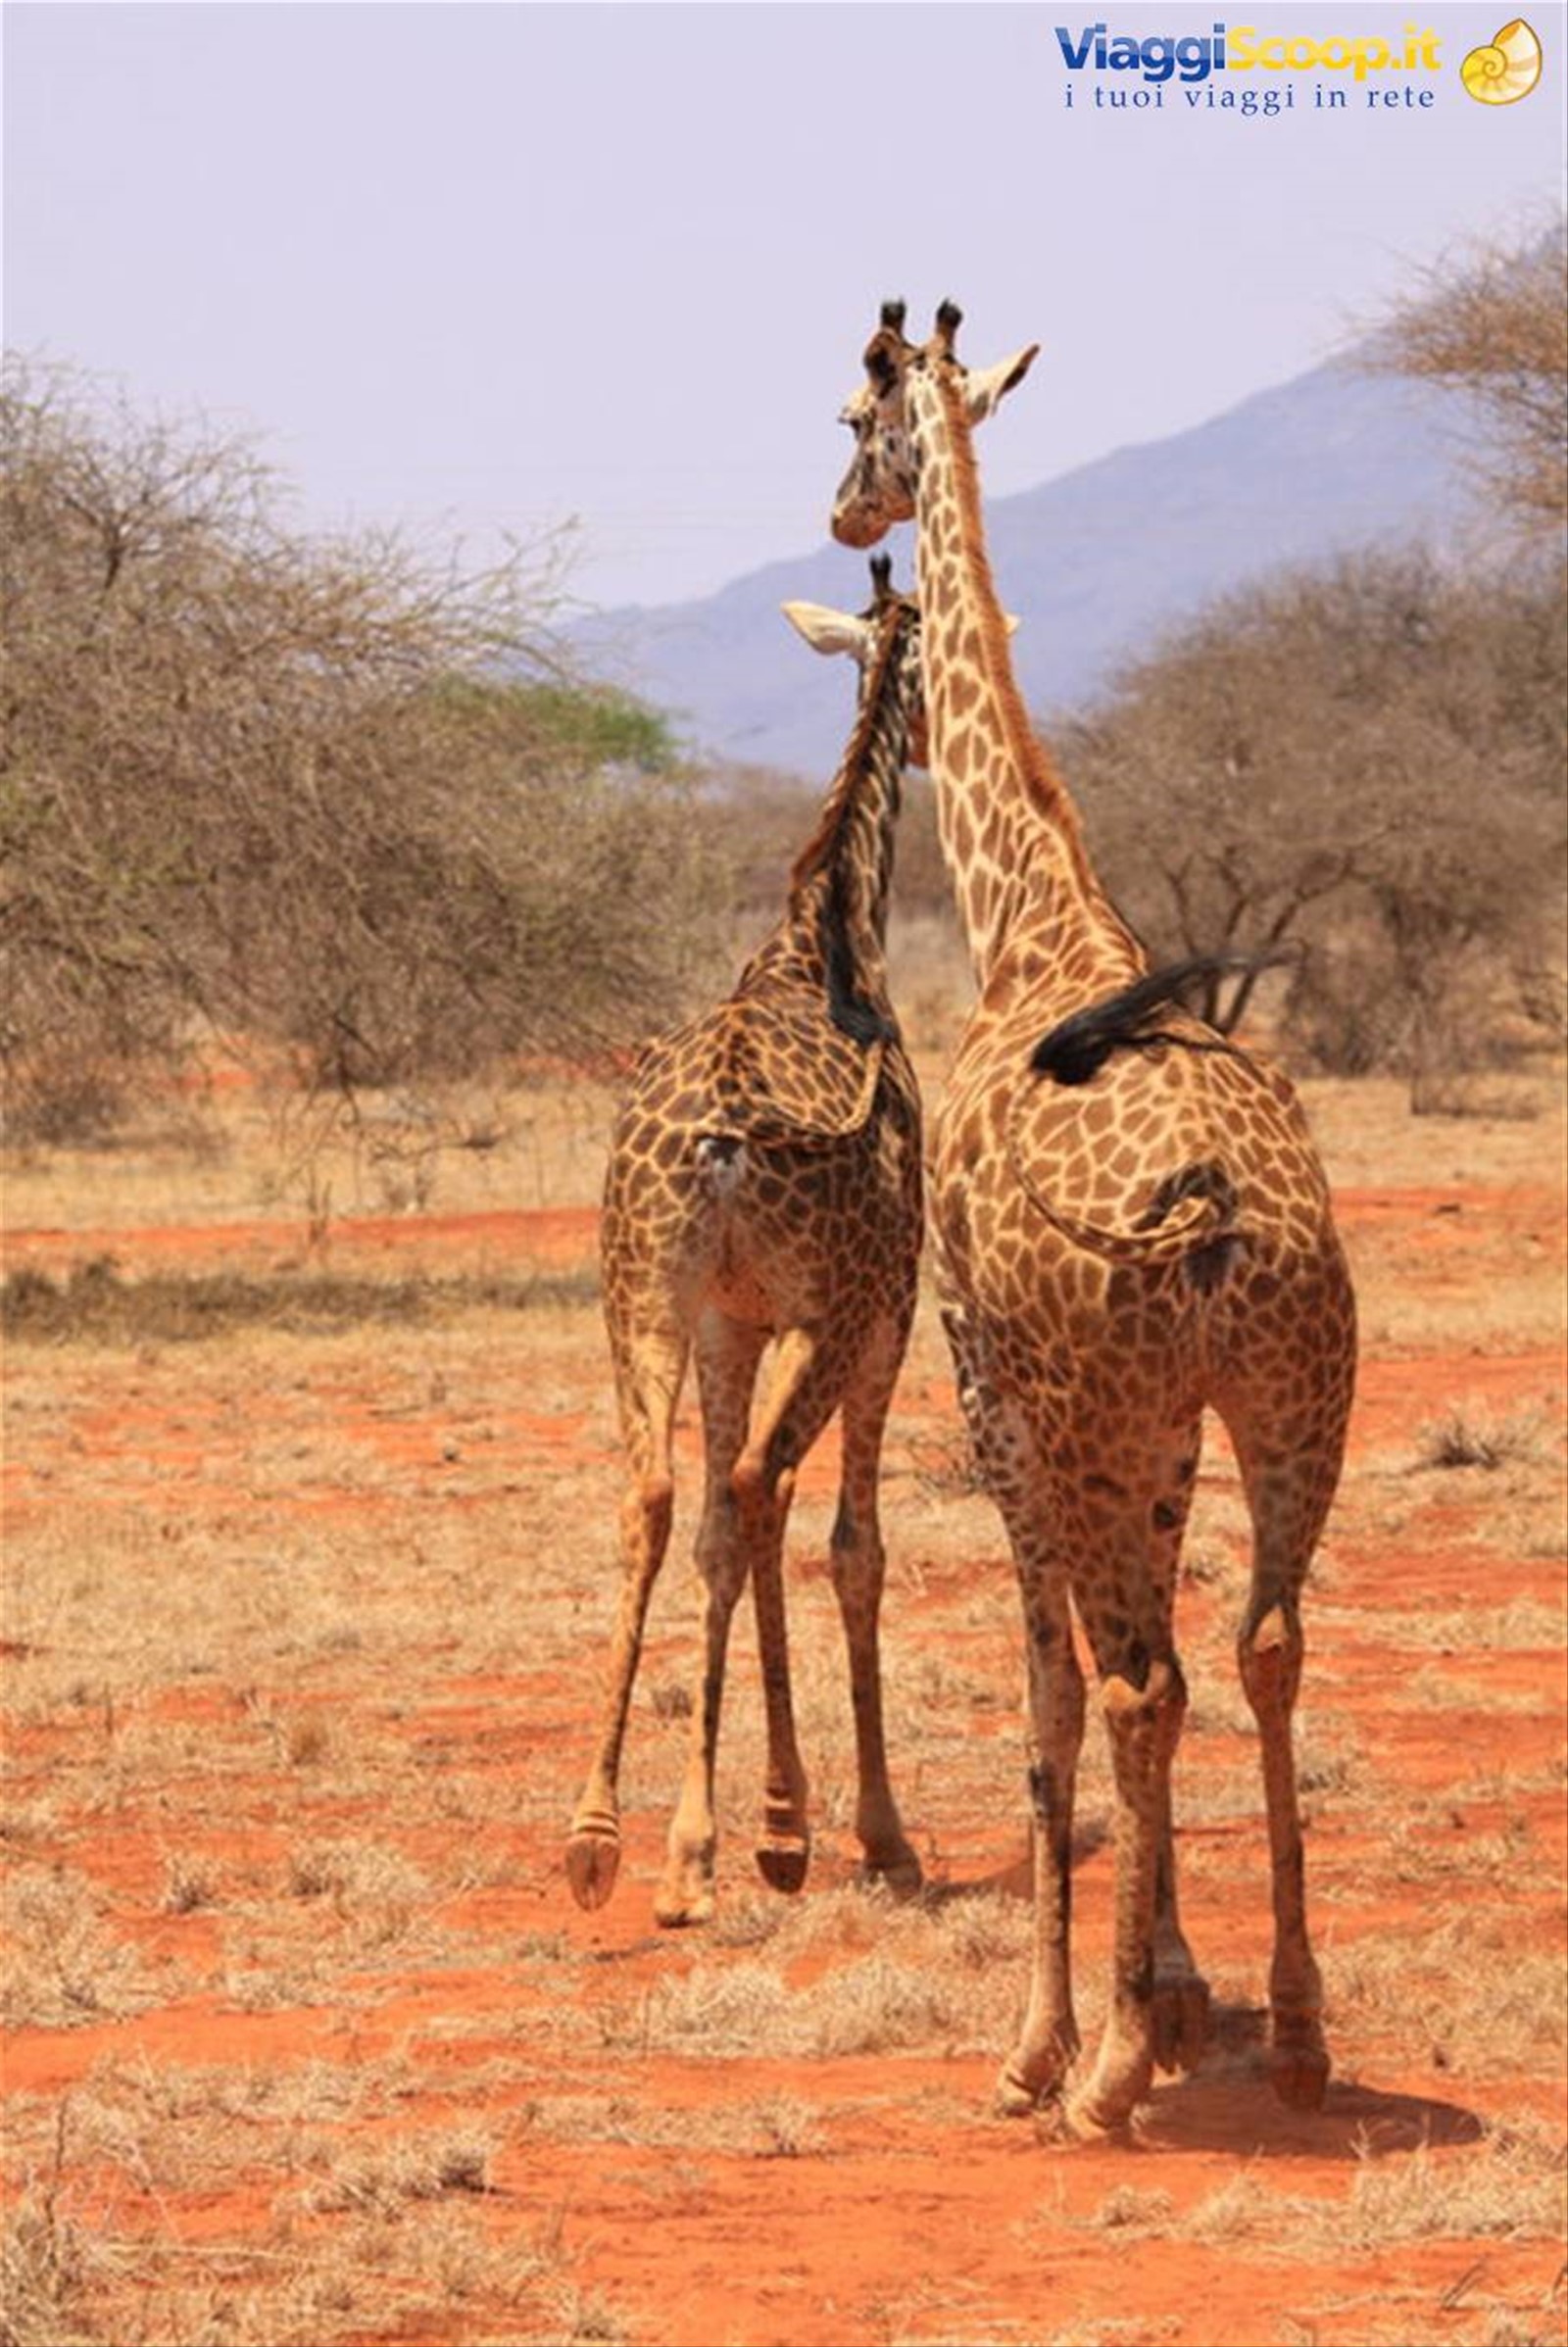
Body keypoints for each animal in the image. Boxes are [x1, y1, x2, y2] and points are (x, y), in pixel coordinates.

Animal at [566, 557, 926, 1928]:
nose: (926, 741)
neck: (832, 938)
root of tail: (724, 1122)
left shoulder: (731, 1318)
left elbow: (721, 1531)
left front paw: (692, 1845)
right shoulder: (883, 1312)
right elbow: (852, 1546)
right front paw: (857, 1831)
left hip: (639, 1302)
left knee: (661, 1495)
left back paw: (599, 1838)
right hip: (831, 1315)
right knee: (769, 1487)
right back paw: (788, 1826)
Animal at [829, 302, 1357, 2133]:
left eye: (853, 419)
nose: (842, 515)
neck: (1031, 916)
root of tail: (1214, 1213)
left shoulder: (996, 1390)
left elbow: (1051, 1689)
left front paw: (1059, 2035)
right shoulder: (1171, 1428)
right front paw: (1184, 1990)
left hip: (1093, 1403)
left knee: (1134, 1674)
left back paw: (1105, 2075)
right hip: (1292, 1402)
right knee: (1261, 1645)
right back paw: (1300, 2030)